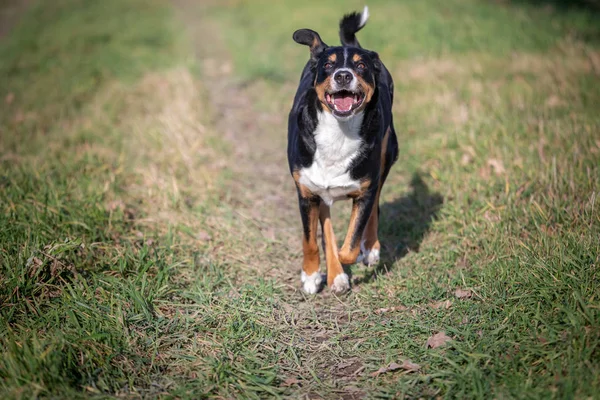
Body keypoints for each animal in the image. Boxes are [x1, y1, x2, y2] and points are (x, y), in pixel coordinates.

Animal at [288, 6, 396, 294]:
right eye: (328, 65)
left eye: (361, 66)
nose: (344, 75)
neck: (338, 132)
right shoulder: (307, 192)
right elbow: (312, 239)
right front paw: (312, 274)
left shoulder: (365, 189)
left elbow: (350, 244)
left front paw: (359, 254)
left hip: (387, 154)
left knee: (375, 207)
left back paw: (369, 249)